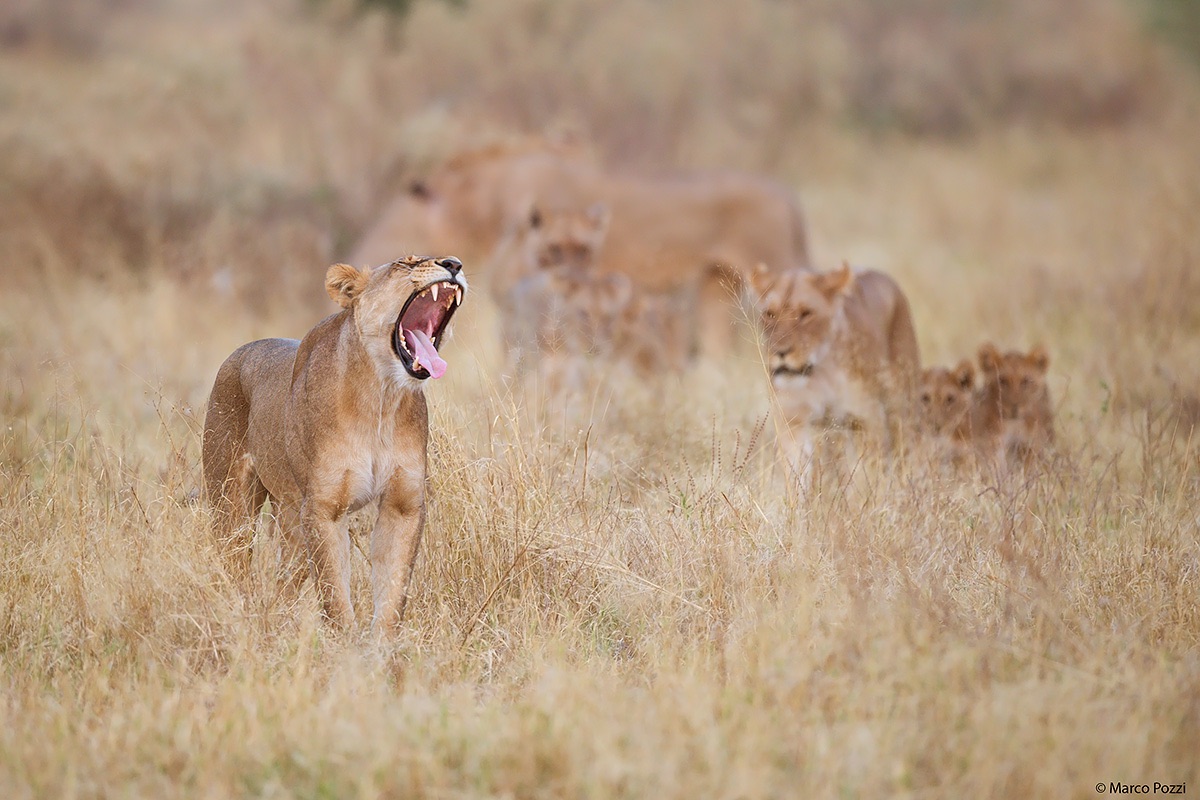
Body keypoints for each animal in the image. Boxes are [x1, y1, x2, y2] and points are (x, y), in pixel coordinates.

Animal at [201, 255, 467, 636]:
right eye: (405, 263)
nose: (454, 263)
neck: (381, 397)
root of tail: (239, 351)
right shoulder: (324, 508)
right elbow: (334, 591)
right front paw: (346, 644)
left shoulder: (403, 504)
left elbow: (393, 589)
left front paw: (382, 645)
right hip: (232, 505)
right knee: (235, 567)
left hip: (292, 519)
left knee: (284, 582)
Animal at [748, 262, 921, 490]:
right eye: (769, 314)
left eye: (806, 313)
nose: (780, 352)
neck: (821, 373)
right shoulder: (792, 420)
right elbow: (796, 473)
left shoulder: (868, 418)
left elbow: (869, 471)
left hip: (901, 402)